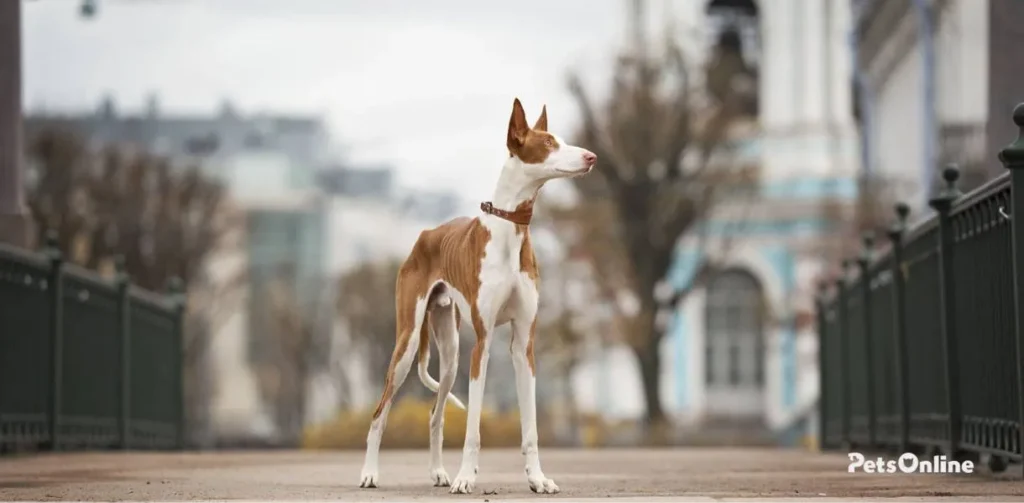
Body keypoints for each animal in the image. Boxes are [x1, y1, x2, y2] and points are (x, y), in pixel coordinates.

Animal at [360, 96, 598, 493]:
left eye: (561, 140)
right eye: (549, 143)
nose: (592, 157)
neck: (510, 228)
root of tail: (426, 235)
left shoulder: (523, 345)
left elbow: (531, 428)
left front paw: (537, 478)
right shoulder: (482, 345)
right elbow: (472, 427)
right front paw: (465, 477)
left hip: (451, 352)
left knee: (435, 415)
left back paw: (438, 472)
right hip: (407, 345)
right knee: (380, 412)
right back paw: (370, 473)